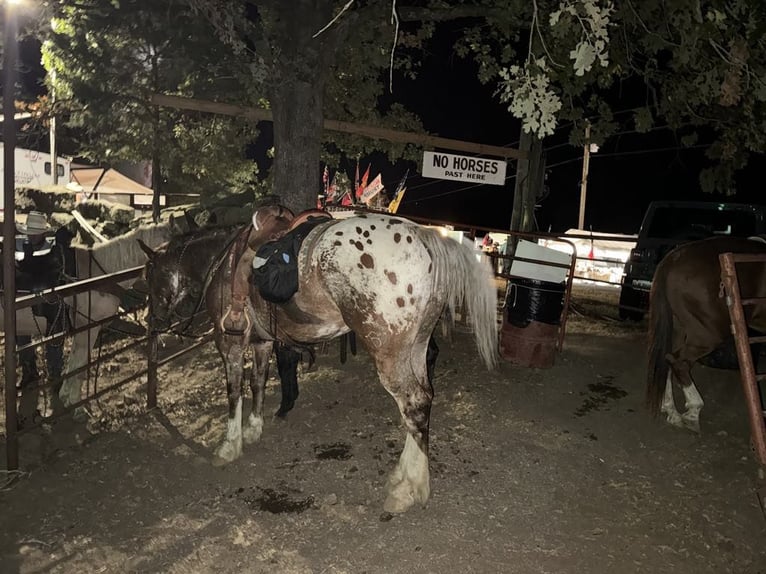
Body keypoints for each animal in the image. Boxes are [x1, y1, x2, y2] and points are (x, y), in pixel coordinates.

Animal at [141, 206, 500, 512]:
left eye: (149, 273)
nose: (152, 321)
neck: (223, 264)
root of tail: (425, 236)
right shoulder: (262, 342)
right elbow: (257, 382)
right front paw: (254, 428)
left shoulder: (229, 343)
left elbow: (234, 392)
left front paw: (229, 447)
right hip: (416, 346)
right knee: (423, 400)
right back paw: (404, 477)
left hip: (390, 354)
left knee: (413, 404)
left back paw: (408, 490)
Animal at [648, 235, 766, 432]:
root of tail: (673, 258)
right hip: (707, 334)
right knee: (678, 361)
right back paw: (693, 411)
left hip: (679, 328)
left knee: (667, 361)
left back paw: (672, 410)